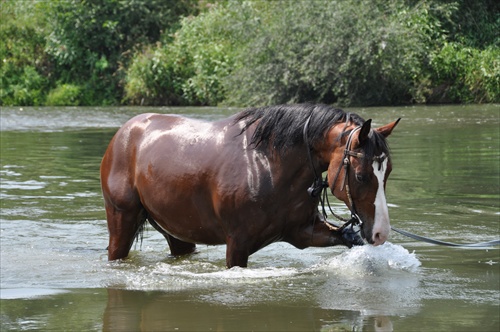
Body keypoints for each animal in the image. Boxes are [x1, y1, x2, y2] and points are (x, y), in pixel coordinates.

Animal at [100, 104, 398, 268]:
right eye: (361, 176)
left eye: (387, 172)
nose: (380, 233)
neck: (268, 165)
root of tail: (124, 133)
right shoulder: (237, 245)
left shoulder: (302, 233)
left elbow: (345, 237)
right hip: (122, 220)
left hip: (178, 233)